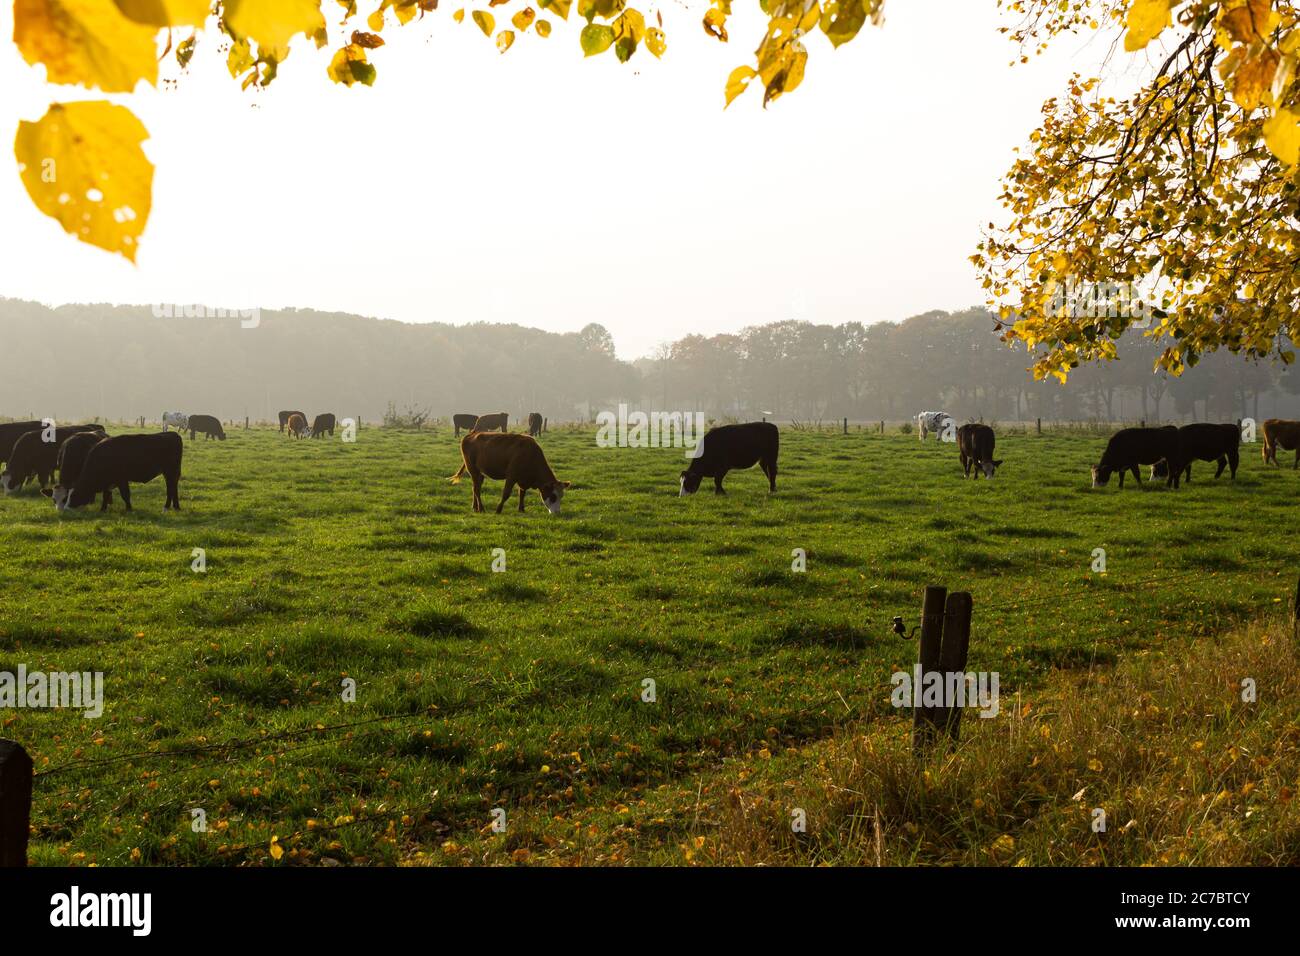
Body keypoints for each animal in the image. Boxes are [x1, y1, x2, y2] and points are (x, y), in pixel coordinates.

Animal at [51, 429, 183, 512]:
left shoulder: (122, 479)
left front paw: (129, 509)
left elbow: (125, 495)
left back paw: (166, 507)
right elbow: (105, 495)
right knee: (174, 487)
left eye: (72, 496)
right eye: (54, 500)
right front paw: (103, 509)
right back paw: (176, 506)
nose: (66, 509)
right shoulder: (107, 481)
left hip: (170, 471)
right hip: (171, 473)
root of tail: (173, 434)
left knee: (170, 488)